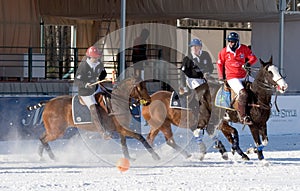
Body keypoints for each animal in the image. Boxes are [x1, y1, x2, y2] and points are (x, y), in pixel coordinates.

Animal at [27, 77, 161, 161]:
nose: (149, 101)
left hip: (52, 129)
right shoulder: (123, 129)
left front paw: (128, 158)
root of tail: (48, 102)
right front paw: (156, 156)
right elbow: (140, 137)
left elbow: (124, 144)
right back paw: (52, 157)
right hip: (57, 131)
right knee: (44, 140)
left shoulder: (121, 129)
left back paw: (41, 157)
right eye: (140, 87)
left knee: (42, 138)